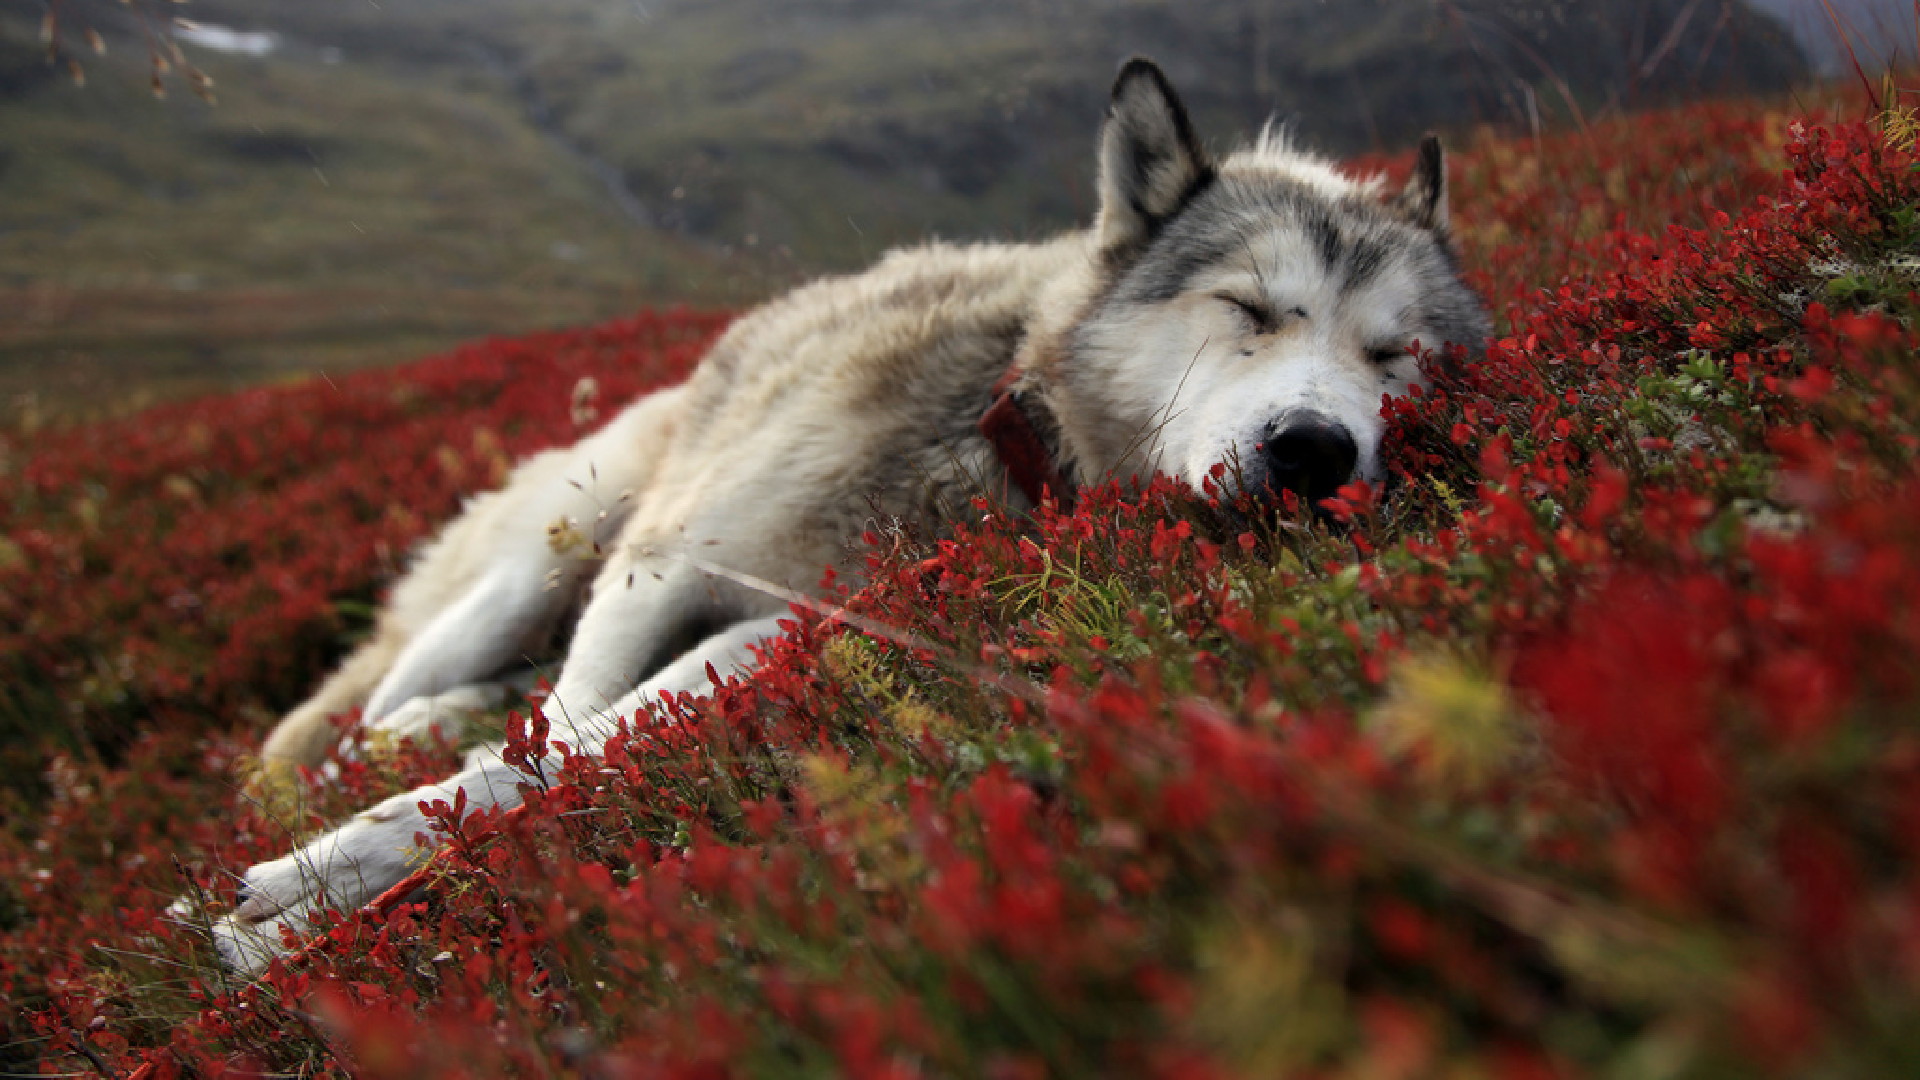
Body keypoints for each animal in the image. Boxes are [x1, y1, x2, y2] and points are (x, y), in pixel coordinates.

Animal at [195, 57, 1489, 974]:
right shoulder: (659, 568)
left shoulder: (785, 629)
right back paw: (352, 756)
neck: (992, 429)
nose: (1315, 451)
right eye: (1250, 310)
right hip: (546, 559)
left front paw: (315, 904)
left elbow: (571, 750)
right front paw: (320, 882)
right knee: (358, 709)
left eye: (1395, 356)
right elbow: (554, 733)